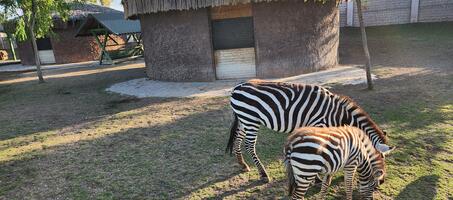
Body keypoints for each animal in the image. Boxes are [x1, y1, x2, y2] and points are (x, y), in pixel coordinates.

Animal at [228, 79, 390, 182]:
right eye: (381, 158)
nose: (382, 182)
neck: (337, 114)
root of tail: (237, 87)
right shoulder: (319, 125)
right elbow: (320, 150)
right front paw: (317, 178)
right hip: (251, 120)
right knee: (249, 145)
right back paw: (263, 174)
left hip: (244, 119)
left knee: (238, 138)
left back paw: (243, 165)